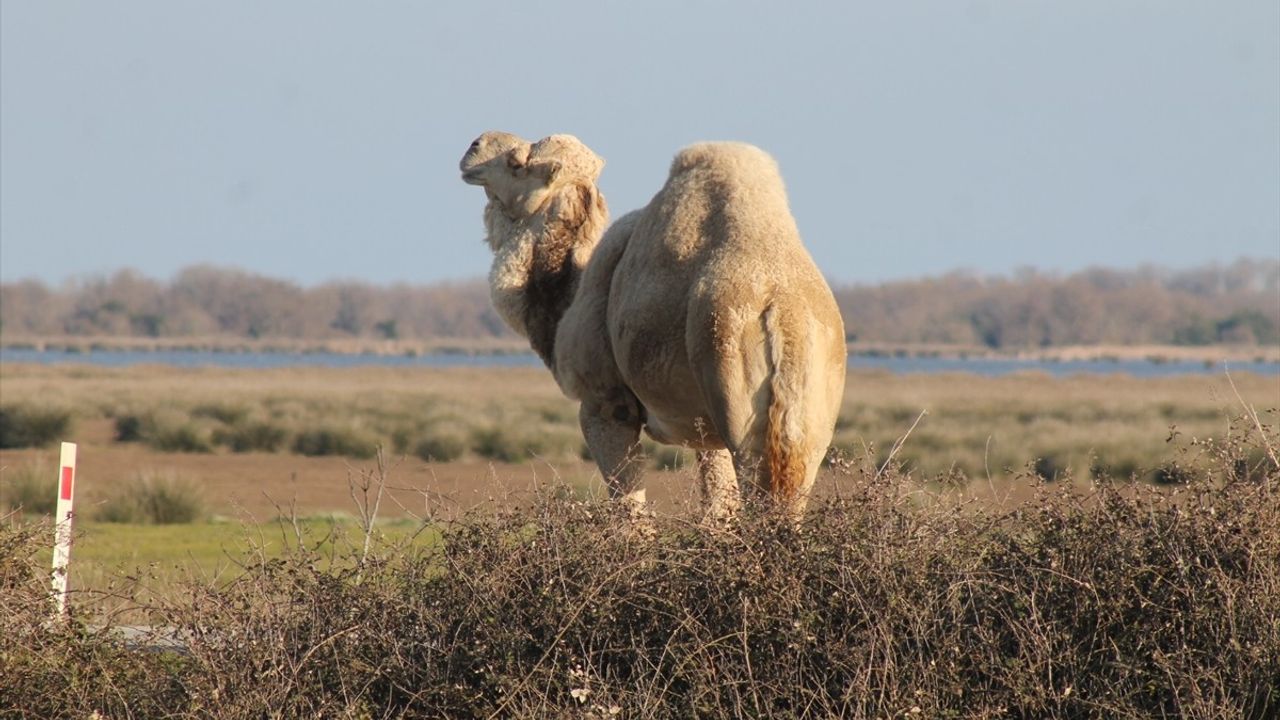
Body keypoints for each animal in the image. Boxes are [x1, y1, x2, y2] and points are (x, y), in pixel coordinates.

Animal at [458, 133, 839, 515]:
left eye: (518, 163)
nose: (474, 146)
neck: (570, 294)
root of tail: (782, 311)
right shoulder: (707, 432)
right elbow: (718, 509)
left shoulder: (605, 404)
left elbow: (631, 511)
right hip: (809, 425)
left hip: (736, 398)